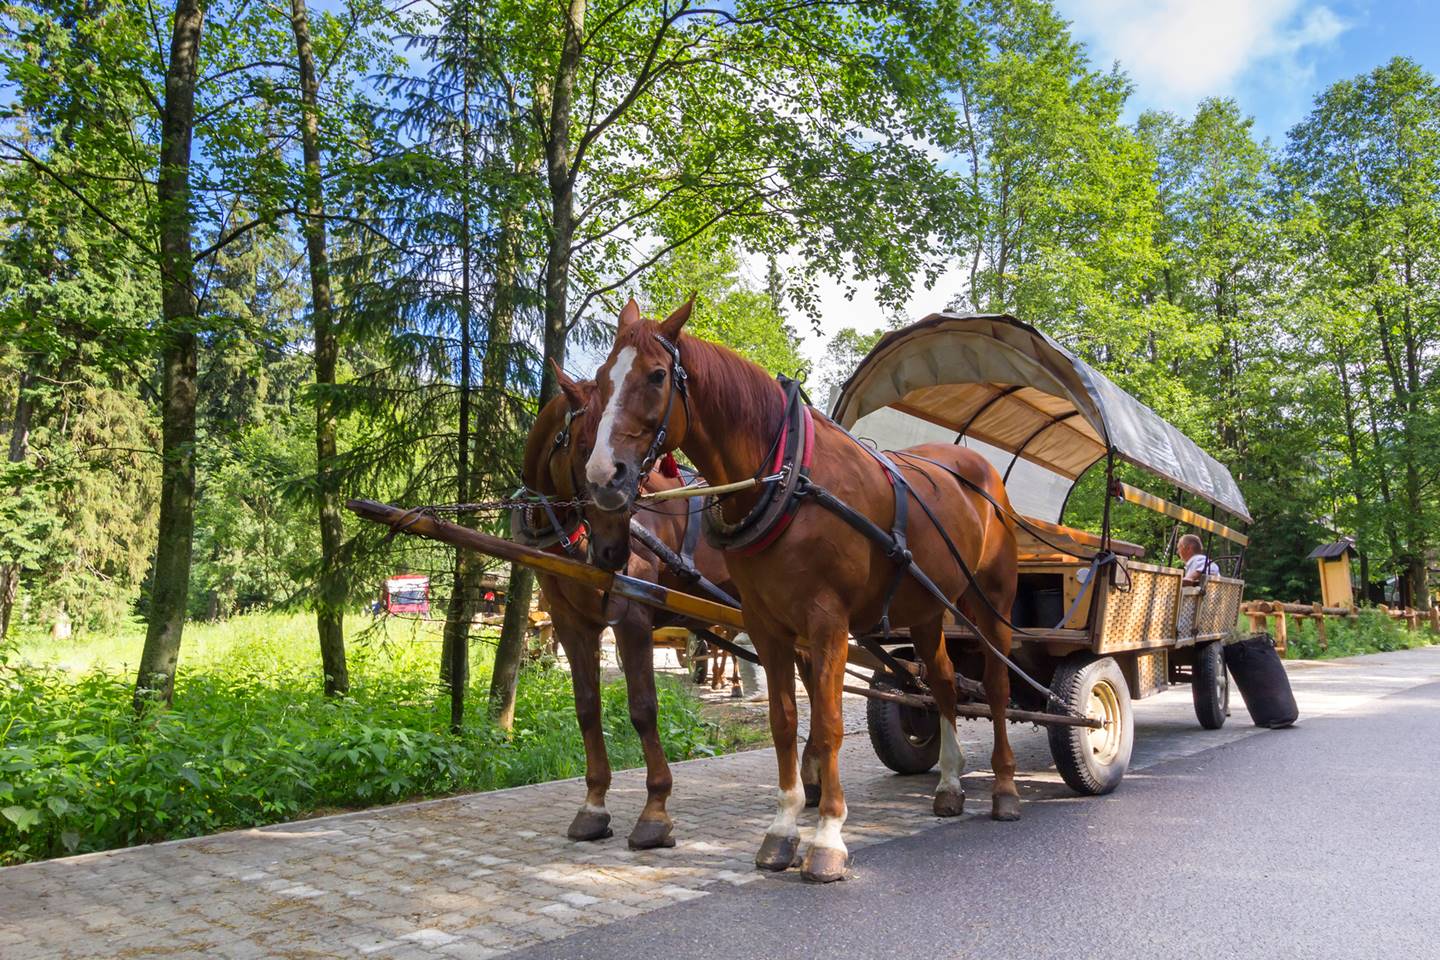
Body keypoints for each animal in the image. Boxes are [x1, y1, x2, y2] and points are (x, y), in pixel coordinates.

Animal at [518, 371, 737, 852]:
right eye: (584, 445)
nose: (613, 549)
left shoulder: (633, 617)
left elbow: (642, 709)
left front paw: (655, 812)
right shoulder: (570, 624)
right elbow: (586, 707)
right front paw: (593, 805)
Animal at [578, 300, 1019, 886]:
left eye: (654, 376)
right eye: (603, 380)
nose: (603, 476)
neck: (787, 481)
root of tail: (981, 467)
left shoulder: (827, 623)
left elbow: (829, 725)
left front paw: (828, 836)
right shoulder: (767, 625)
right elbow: (784, 722)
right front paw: (784, 829)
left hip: (991, 605)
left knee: (996, 687)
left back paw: (1006, 788)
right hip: (927, 611)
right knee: (944, 684)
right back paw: (949, 783)